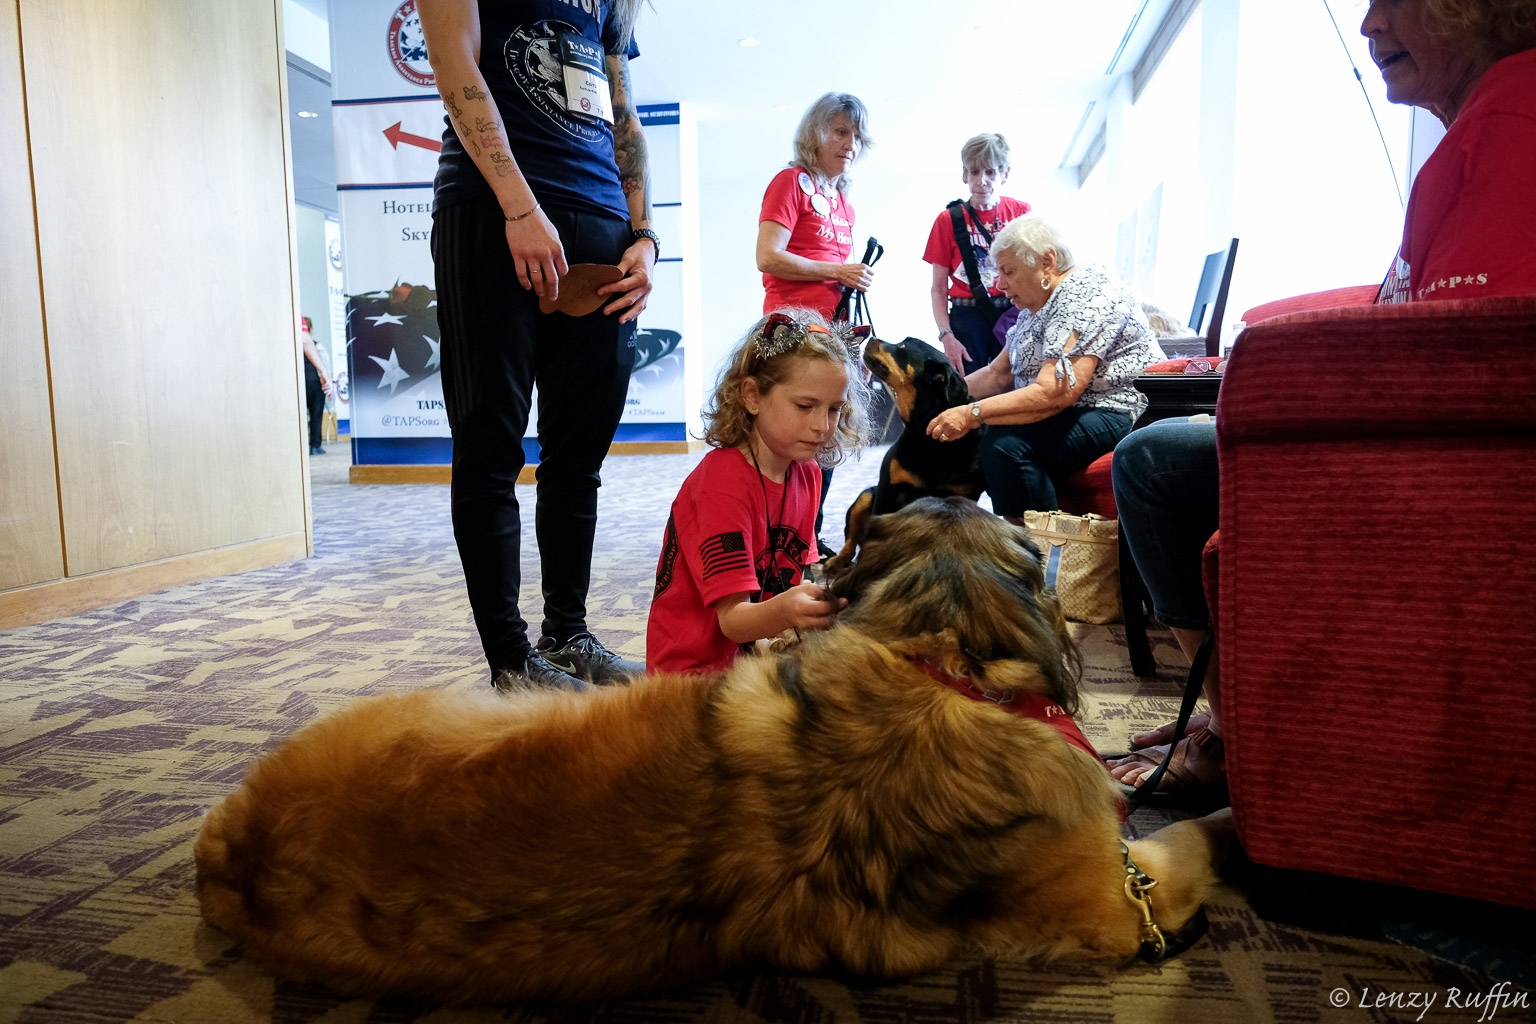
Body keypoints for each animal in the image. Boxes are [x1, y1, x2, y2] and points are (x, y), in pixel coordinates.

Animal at [823, 337, 989, 574]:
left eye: (903, 346)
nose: (871, 337)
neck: (928, 435)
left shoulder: (963, 497)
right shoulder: (887, 490)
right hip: (865, 497)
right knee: (852, 540)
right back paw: (838, 561)